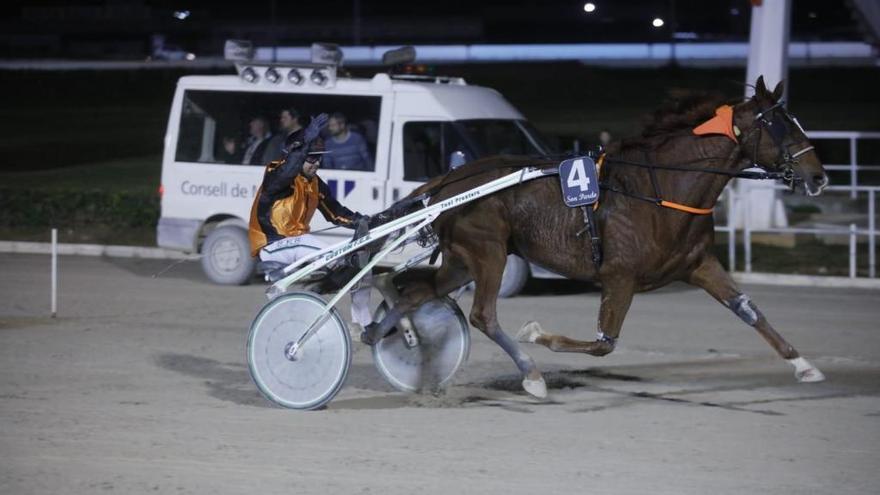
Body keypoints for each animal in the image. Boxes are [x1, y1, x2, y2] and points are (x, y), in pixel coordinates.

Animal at [366, 78, 832, 404]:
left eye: (794, 121)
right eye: (777, 125)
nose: (819, 176)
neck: (662, 190)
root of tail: (451, 180)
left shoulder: (699, 265)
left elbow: (749, 310)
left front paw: (805, 366)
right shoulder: (619, 275)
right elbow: (603, 344)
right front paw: (538, 334)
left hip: (463, 259)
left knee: (415, 292)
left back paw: (380, 330)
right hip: (489, 254)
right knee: (482, 315)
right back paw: (532, 376)